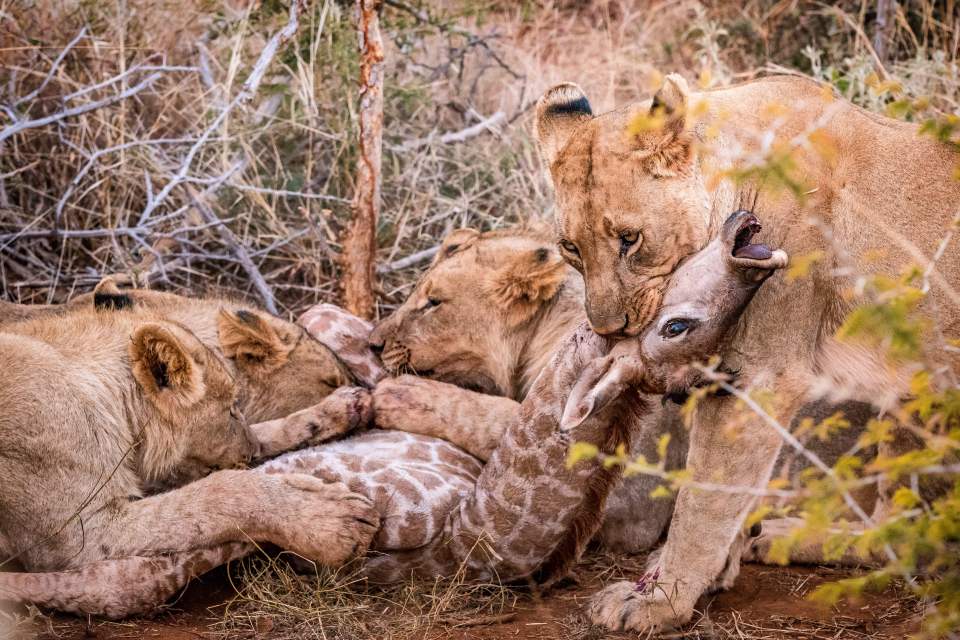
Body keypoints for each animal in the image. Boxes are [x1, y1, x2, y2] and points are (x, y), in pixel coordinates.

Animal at [532, 75, 960, 632]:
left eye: (630, 239)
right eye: (570, 248)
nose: (609, 329)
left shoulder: (762, 374)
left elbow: (705, 500)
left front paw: (659, 601)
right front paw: (710, 572)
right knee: (898, 527)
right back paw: (780, 537)